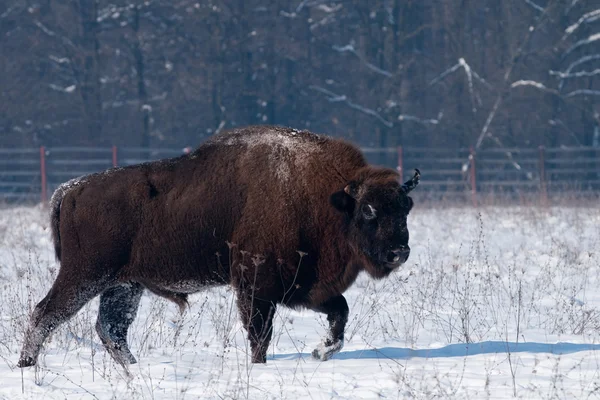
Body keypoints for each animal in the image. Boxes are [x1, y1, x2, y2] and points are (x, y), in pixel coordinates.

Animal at [19, 125, 422, 366]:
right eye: (369, 210)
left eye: (406, 207)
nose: (398, 252)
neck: (328, 198)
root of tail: (71, 189)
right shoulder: (256, 288)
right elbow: (260, 335)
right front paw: (262, 365)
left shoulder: (304, 288)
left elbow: (339, 314)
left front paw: (319, 351)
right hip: (84, 275)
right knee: (46, 314)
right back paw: (27, 366)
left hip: (123, 284)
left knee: (111, 329)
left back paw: (133, 370)